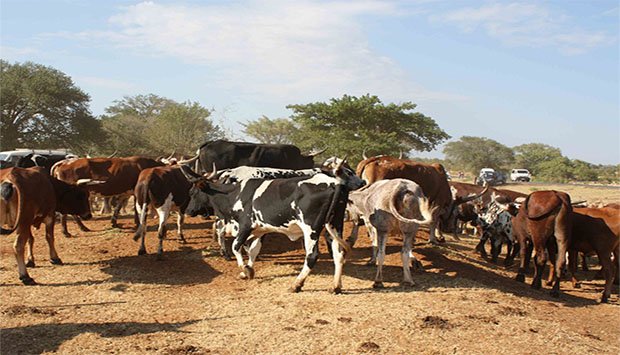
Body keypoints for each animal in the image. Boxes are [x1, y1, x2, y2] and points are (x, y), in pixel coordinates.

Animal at [179, 159, 366, 294]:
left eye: (192, 192)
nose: (188, 211)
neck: (236, 193)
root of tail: (335, 183)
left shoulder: (245, 225)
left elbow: (236, 246)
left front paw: (245, 270)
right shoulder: (260, 229)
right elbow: (252, 249)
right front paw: (248, 269)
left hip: (311, 229)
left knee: (312, 256)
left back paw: (296, 284)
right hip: (334, 225)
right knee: (338, 254)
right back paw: (336, 286)